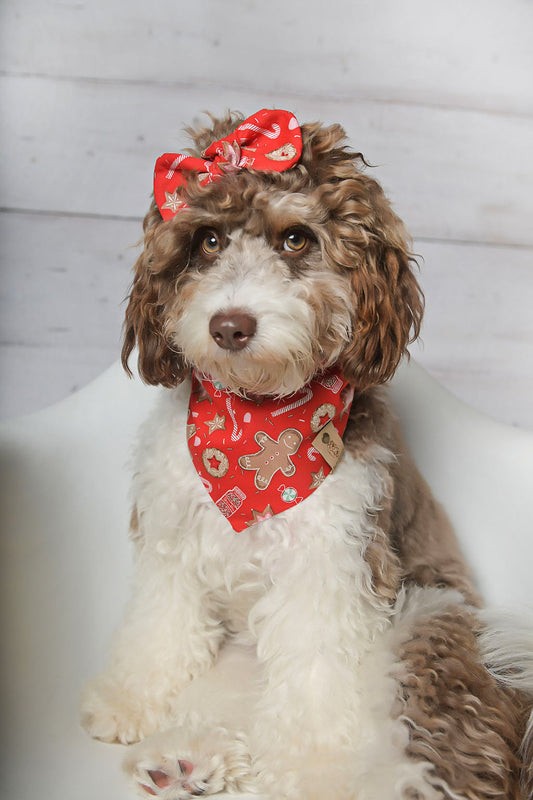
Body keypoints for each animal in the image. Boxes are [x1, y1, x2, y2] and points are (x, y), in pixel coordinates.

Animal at [79, 109, 532, 796]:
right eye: (206, 241)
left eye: (296, 239)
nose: (230, 326)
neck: (253, 422)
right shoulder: (173, 542)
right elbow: (160, 628)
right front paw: (129, 698)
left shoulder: (332, 569)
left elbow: (317, 679)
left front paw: (311, 769)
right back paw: (187, 759)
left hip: (429, 627)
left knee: (431, 767)